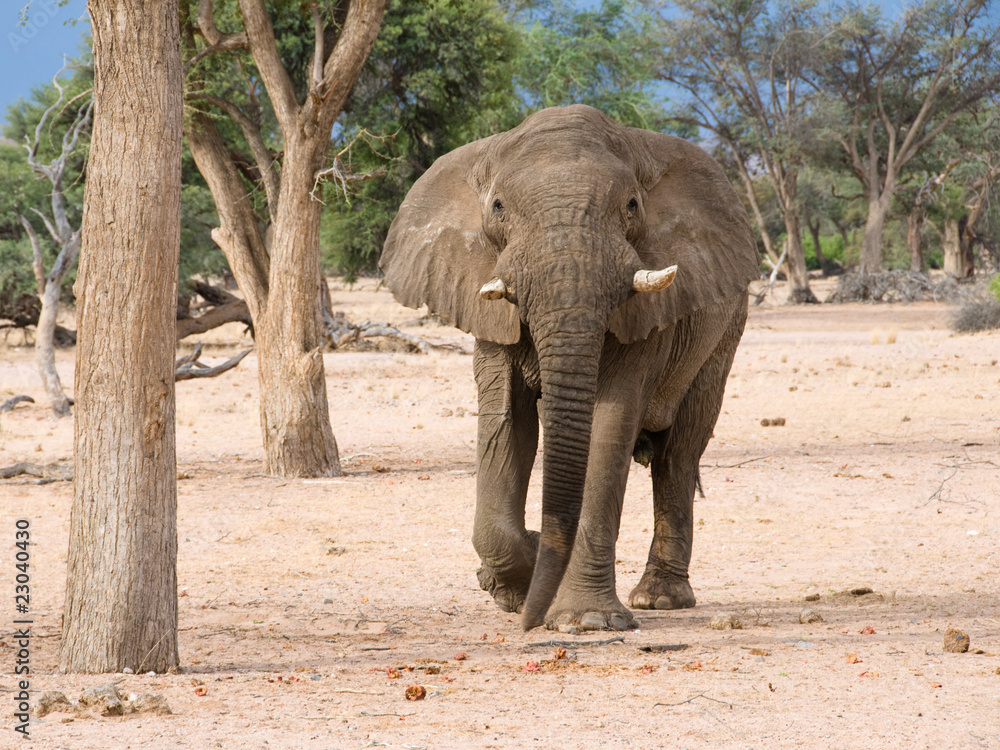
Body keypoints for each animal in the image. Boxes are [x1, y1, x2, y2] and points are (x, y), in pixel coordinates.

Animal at [380, 105, 759, 632]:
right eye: (498, 207)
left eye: (632, 205)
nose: (529, 621)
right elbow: (506, 426)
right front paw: (518, 587)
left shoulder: (647, 313)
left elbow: (609, 425)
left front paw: (585, 621)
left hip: (724, 335)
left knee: (678, 454)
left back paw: (659, 599)